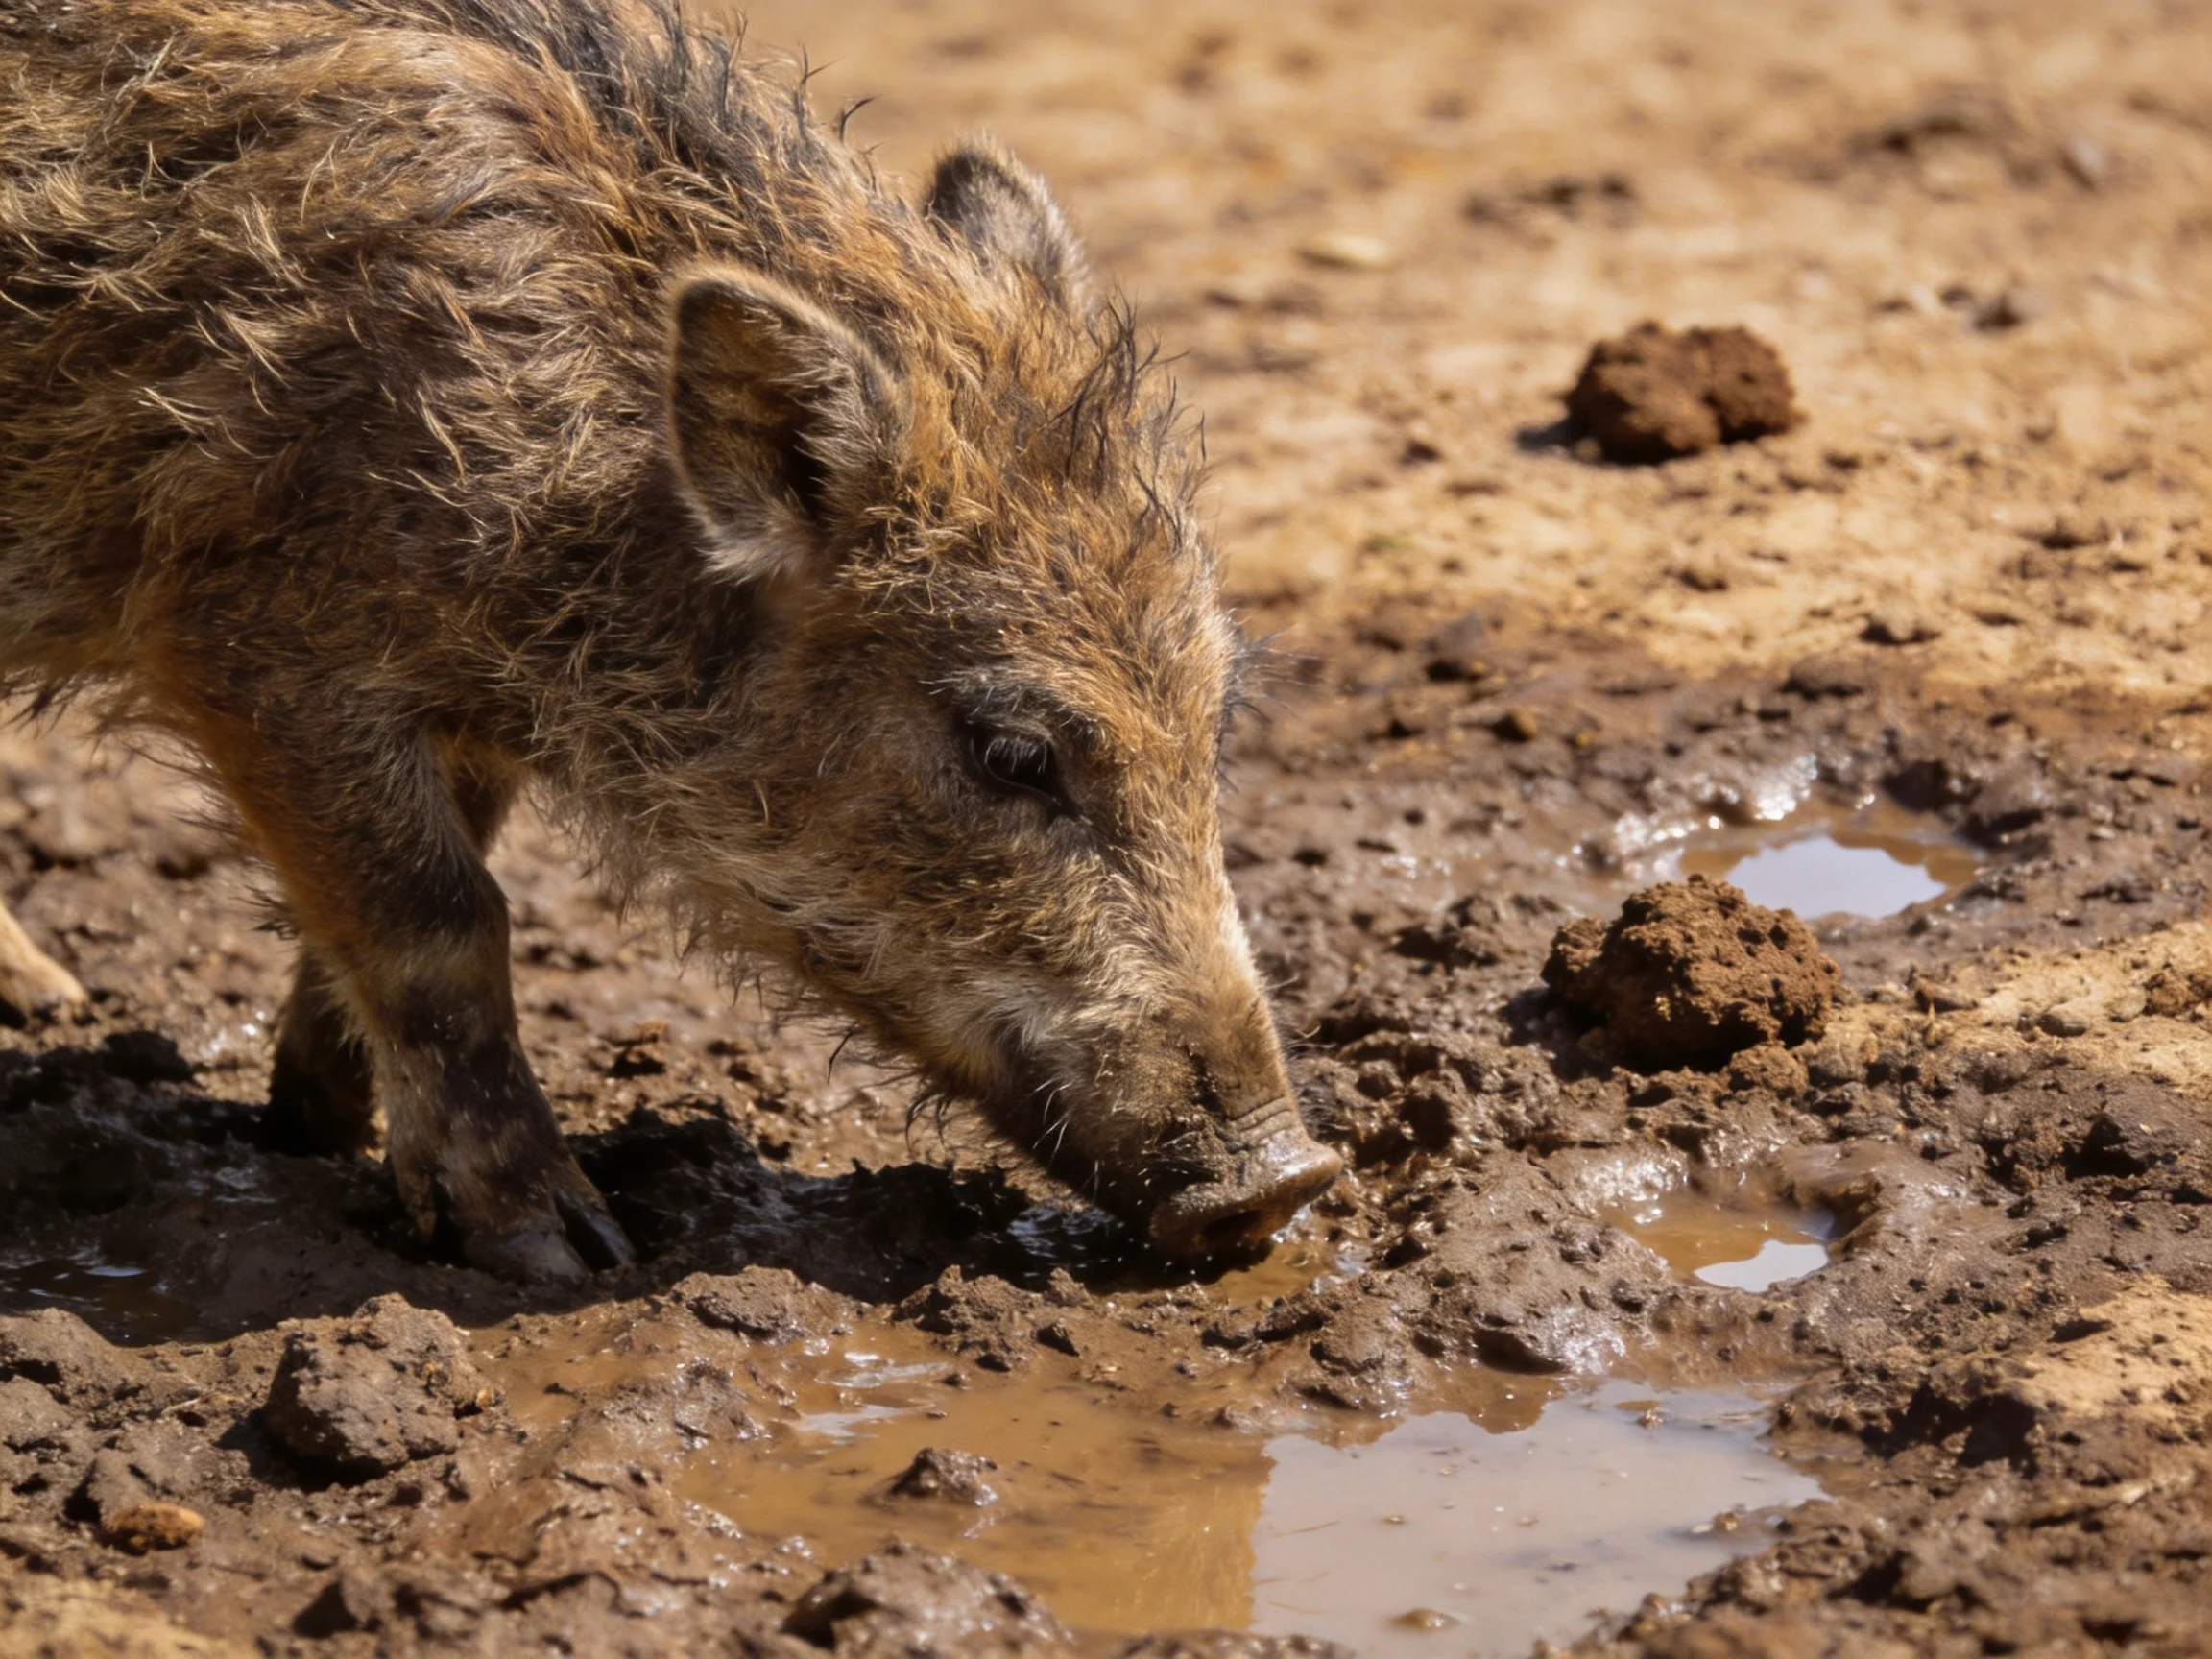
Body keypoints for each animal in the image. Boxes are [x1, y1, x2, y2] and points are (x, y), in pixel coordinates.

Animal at [0, 0, 1343, 1278]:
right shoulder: (254, 643)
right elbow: (442, 917)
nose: (1288, 1184)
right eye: (1012, 752)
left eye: (1214, 725)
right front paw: (558, 1249)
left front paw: (307, 1128)